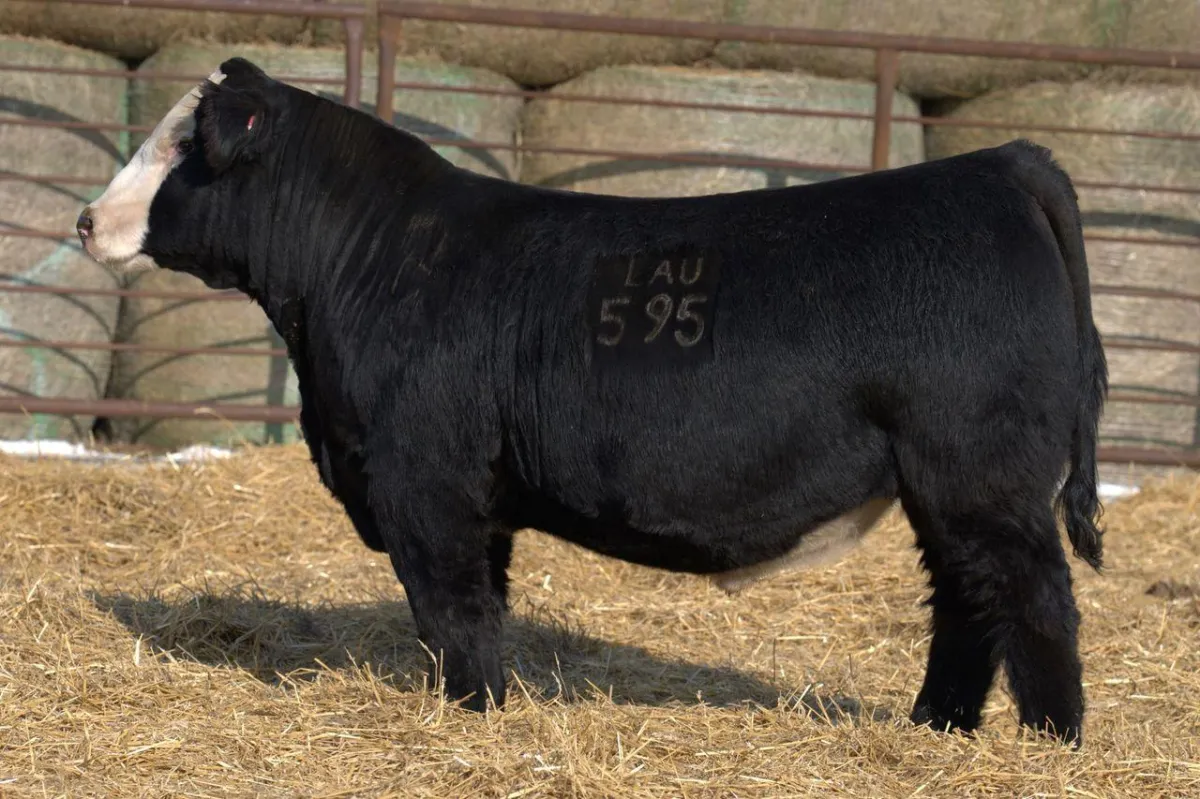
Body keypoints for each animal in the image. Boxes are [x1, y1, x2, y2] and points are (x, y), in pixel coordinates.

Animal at [77, 58, 1108, 748]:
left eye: (185, 144)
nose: (86, 220)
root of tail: (997, 164)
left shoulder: (424, 483)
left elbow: (453, 611)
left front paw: (477, 714)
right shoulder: (475, 497)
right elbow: (478, 608)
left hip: (981, 476)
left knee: (1036, 602)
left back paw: (1049, 744)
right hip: (952, 488)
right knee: (969, 600)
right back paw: (938, 728)